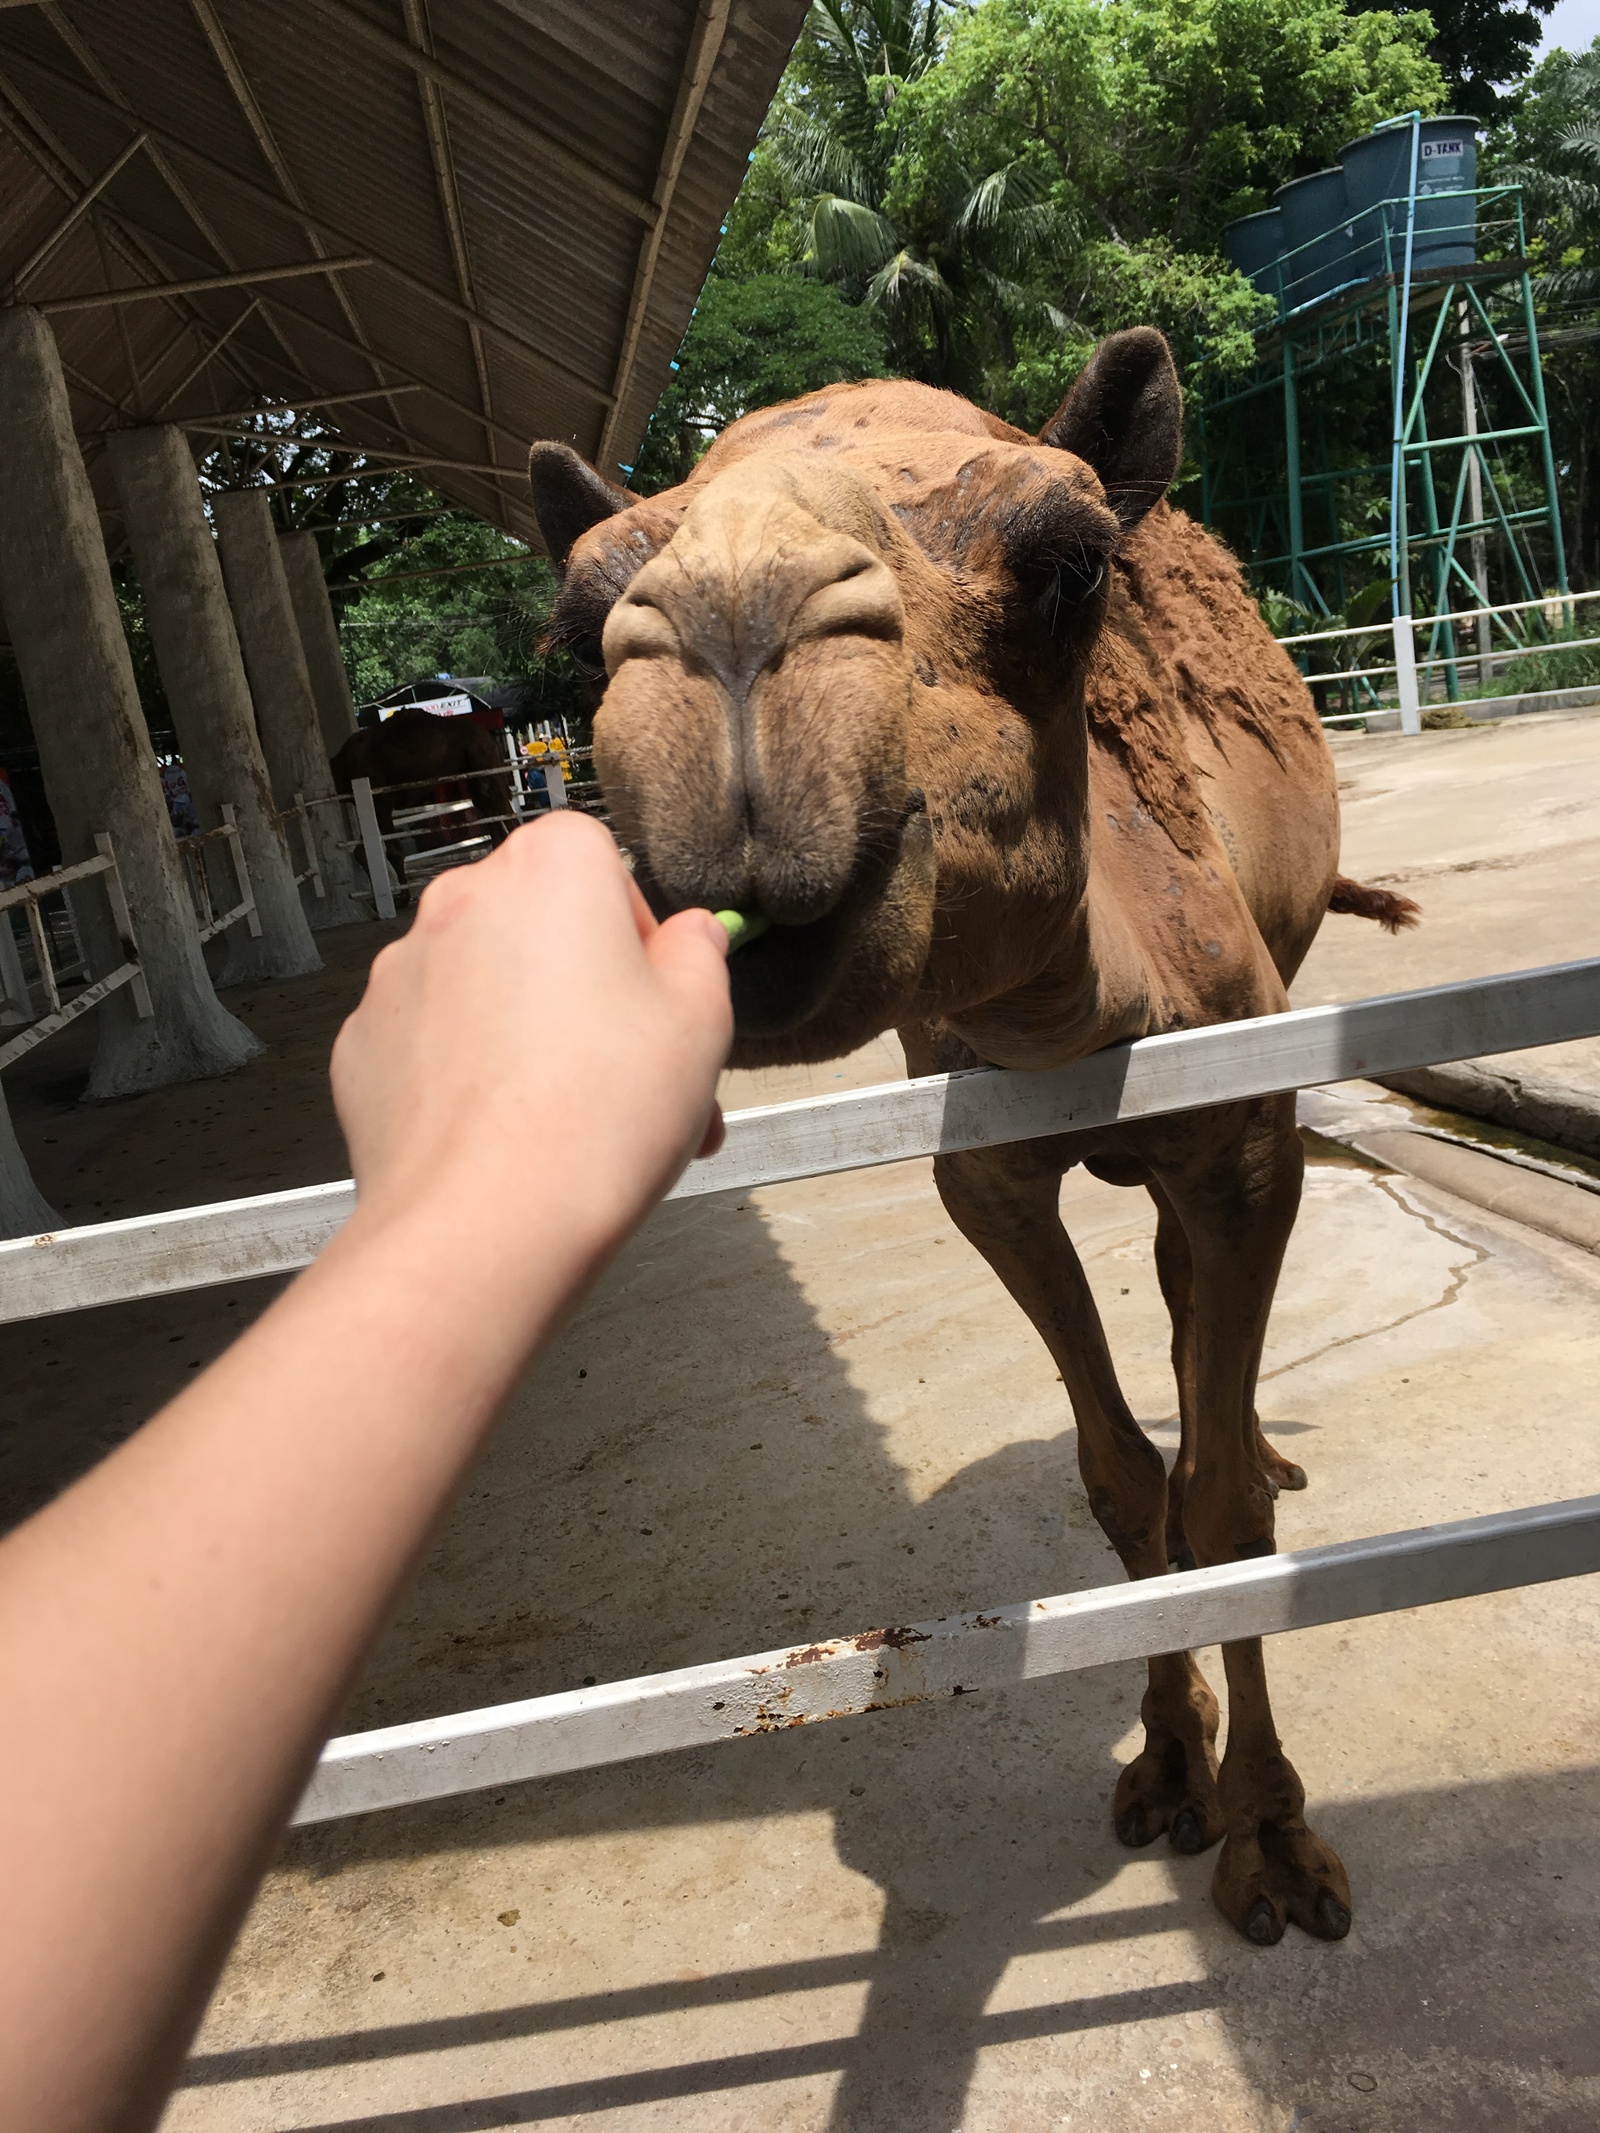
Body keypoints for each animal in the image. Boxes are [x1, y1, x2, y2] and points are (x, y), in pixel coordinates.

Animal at [533, 332, 1425, 1953]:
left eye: (1072, 563)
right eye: (579, 614)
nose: (737, 627)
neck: (1084, 1026)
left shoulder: (1243, 1137)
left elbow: (1216, 1505)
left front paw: (1273, 1846)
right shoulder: (987, 1171)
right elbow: (1122, 1486)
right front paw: (1170, 1768)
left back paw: (1265, 1437)